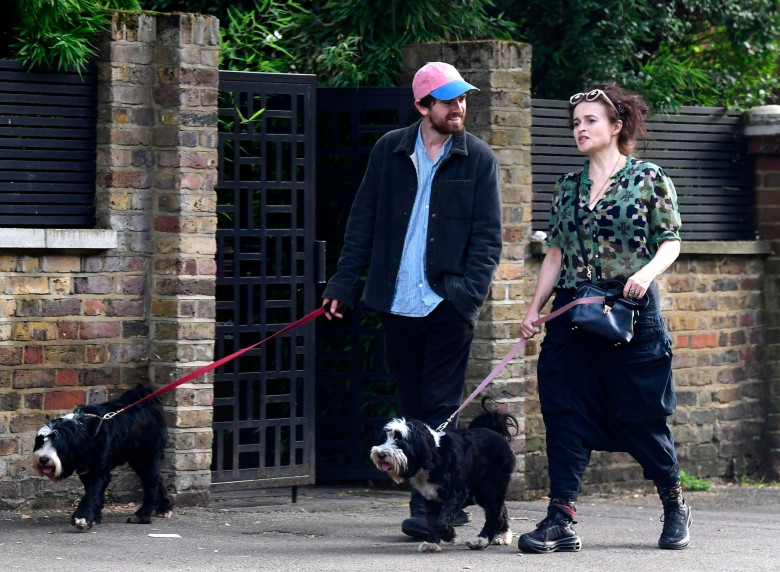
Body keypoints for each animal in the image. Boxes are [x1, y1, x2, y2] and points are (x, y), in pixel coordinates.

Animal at [32, 384, 172, 532]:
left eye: (58, 445)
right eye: (41, 442)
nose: (43, 459)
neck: (85, 433)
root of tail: (148, 406)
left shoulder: (98, 471)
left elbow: (91, 495)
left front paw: (83, 518)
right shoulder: (86, 471)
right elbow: (95, 494)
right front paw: (95, 517)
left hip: (147, 458)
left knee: (151, 485)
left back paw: (142, 515)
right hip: (138, 461)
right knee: (158, 480)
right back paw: (165, 508)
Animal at [372, 400, 516, 552]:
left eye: (399, 440)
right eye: (383, 439)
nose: (380, 454)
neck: (432, 456)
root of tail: (495, 433)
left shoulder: (457, 493)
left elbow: (441, 521)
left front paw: (450, 535)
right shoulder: (430, 497)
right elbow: (432, 520)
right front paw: (432, 542)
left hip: (491, 485)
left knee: (493, 512)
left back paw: (482, 539)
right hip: (482, 491)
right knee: (500, 509)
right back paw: (503, 534)